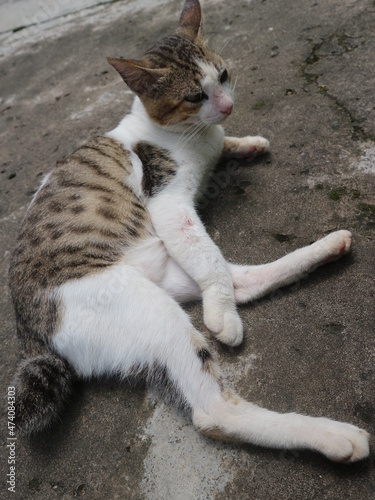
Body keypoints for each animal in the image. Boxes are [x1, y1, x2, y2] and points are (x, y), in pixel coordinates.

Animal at [8, 0, 370, 464]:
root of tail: (29, 337)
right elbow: (207, 254)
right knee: (214, 410)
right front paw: (221, 317)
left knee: (242, 281)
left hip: (165, 272)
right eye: (195, 96)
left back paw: (330, 245)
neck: (187, 134)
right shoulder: (168, 202)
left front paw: (247, 142)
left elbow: (224, 150)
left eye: (224, 75)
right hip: (139, 305)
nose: (228, 106)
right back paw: (330, 434)